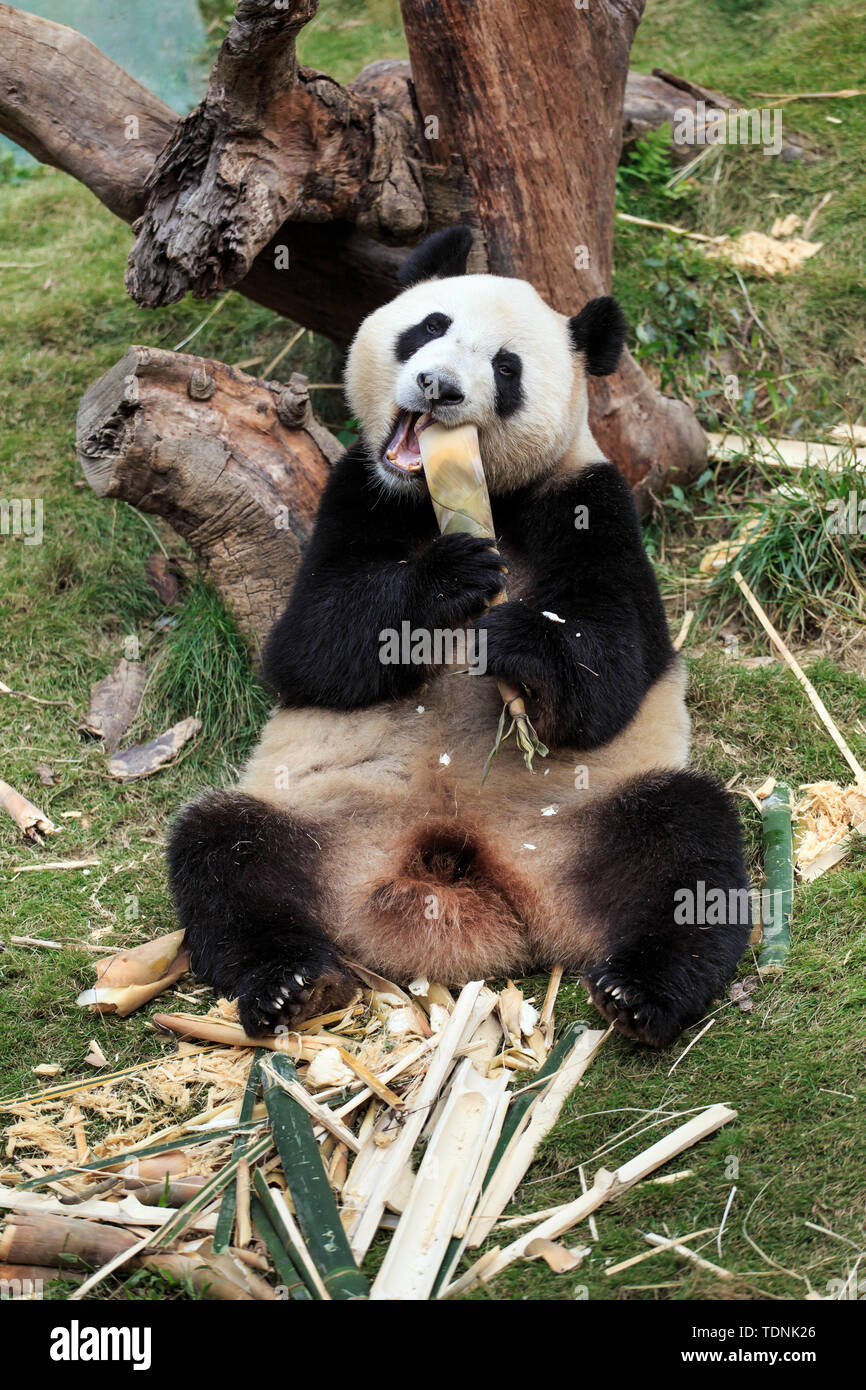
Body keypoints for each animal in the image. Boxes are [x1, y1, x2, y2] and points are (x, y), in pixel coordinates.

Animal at [169, 225, 750, 1045]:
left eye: (506, 369)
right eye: (429, 326)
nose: (439, 386)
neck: (456, 498)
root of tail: (453, 873)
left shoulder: (588, 497)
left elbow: (615, 668)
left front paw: (516, 645)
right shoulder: (359, 489)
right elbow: (306, 647)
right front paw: (449, 579)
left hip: (577, 821)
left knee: (686, 846)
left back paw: (641, 991)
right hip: (323, 820)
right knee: (224, 851)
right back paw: (292, 983)